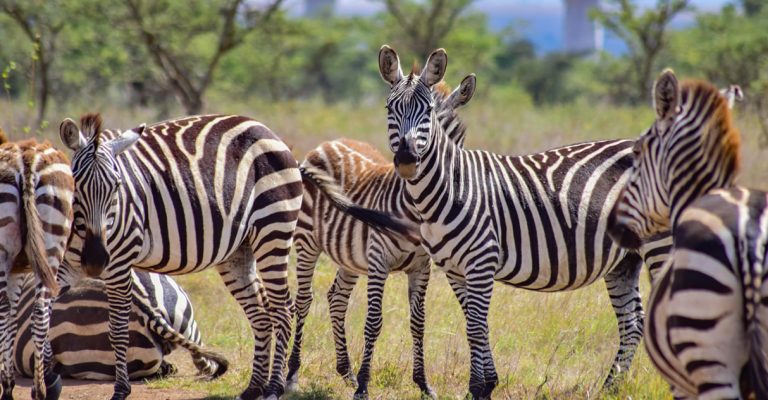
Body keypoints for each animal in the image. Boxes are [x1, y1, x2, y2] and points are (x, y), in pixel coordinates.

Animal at [0, 133, 74, 400]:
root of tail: (28, 157)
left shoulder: (15, 270)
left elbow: (10, 319)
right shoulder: (18, 270)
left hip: (4, 250)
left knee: (4, 312)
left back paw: (8, 390)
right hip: (52, 243)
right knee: (40, 312)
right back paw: (40, 389)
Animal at [56, 113, 303, 400]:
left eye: (117, 187)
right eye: (76, 187)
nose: (95, 260)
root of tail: (267, 130)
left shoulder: (119, 264)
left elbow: (116, 331)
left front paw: (120, 390)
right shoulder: (63, 266)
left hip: (273, 229)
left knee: (282, 310)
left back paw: (274, 387)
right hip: (239, 251)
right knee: (261, 315)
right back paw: (253, 387)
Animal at [287, 78, 475, 399]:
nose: (411, 160)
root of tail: (324, 145)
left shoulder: (421, 267)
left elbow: (418, 322)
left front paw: (423, 384)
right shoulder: (379, 262)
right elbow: (374, 322)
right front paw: (364, 385)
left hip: (348, 254)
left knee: (337, 298)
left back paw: (346, 371)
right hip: (307, 241)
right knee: (303, 300)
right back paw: (293, 374)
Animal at [370, 45, 673, 399]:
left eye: (428, 111)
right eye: (390, 108)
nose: (406, 160)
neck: (450, 187)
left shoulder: (481, 260)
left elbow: (475, 326)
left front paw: (478, 387)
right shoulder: (455, 269)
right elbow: (475, 321)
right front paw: (487, 384)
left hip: (661, 245)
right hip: (624, 259)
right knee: (632, 321)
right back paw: (610, 387)